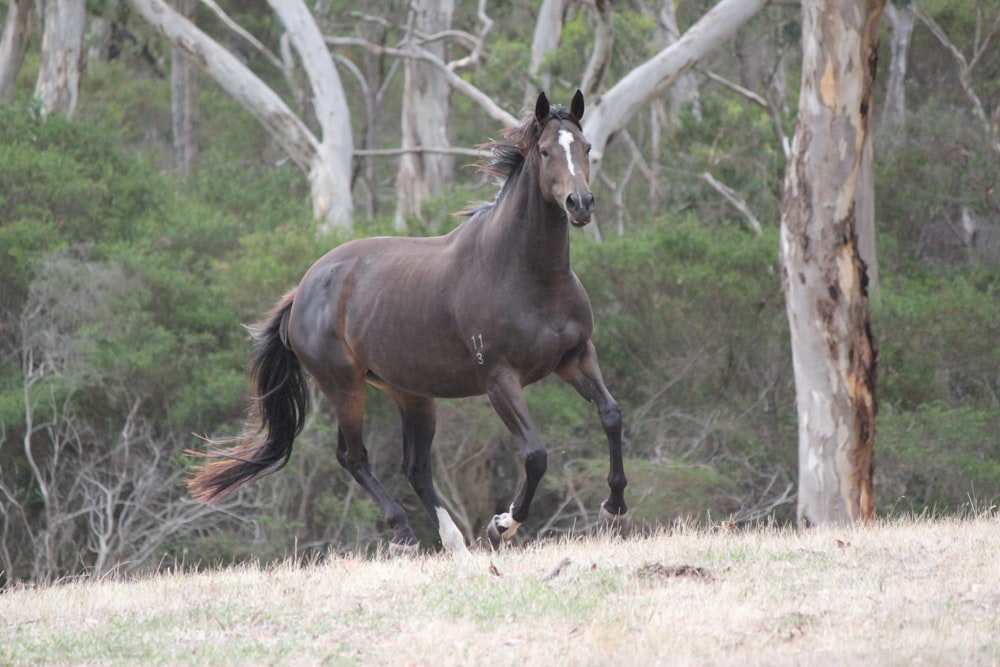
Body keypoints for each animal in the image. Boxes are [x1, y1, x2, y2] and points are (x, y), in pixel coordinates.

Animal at [188, 91, 624, 556]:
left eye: (587, 147)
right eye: (544, 151)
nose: (580, 204)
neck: (528, 275)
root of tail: (301, 292)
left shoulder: (575, 358)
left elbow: (611, 416)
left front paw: (614, 507)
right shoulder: (501, 379)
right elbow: (535, 454)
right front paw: (503, 524)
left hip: (411, 393)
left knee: (414, 467)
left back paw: (453, 542)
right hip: (345, 386)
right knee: (354, 457)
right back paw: (404, 534)